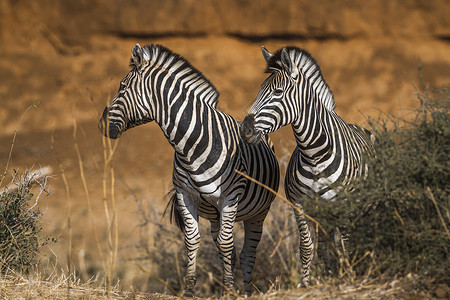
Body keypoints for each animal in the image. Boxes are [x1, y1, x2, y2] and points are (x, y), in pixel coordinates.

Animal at [99, 44, 280, 296]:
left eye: (122, 86)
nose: (101, 125)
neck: (191, 144)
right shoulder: (186, 194)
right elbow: (193, 240)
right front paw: (190, 289)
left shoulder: (230, 196)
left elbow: (227, 243)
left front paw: (229, 290)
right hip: (214, 214)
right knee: (226, 247)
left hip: (258, 212)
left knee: (247, 252)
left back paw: (244, 290)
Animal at [241, 46, 374, 288]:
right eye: (259, 91)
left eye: (278, 92)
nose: (245, 130)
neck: (314, 154)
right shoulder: (300, 204)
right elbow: (307, 247)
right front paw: (306, 284)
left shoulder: (346, 204)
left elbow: (346, 244)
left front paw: (349, 278)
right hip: (325, 214)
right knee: (326, 246)